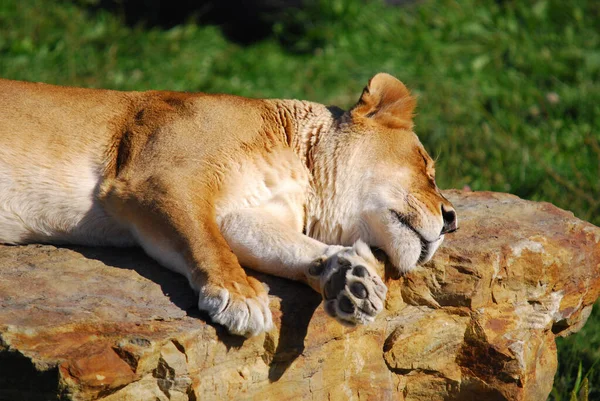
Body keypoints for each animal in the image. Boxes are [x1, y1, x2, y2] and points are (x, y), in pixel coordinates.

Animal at [1, 72, 460, 334]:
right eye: (426, 167)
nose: (452, 219)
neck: (300, 167)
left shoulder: (240, 214)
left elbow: (291, 248)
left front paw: (351, 280)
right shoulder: (155, 180)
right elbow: (205, 242)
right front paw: (239, 297)